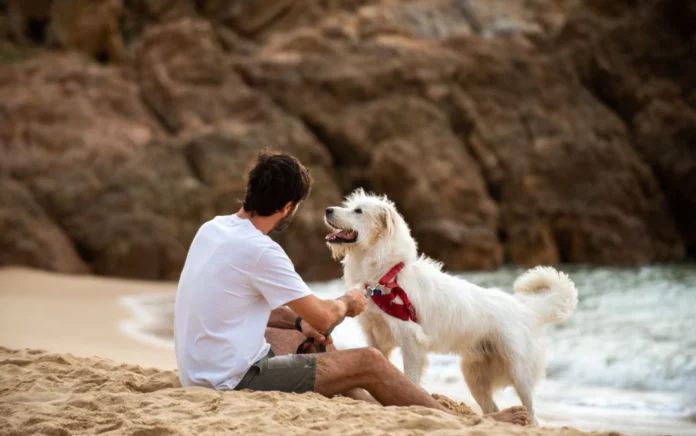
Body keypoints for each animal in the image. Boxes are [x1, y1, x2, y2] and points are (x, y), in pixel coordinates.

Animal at [324, 189, 576, 424]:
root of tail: (527, 309)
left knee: (532, 414)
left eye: (358, 211)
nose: (327, 210)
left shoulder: (411, 342)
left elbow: (409, 379)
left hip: (519, 373)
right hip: (474, 375)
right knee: (491, 408)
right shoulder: (376, 339)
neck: (387, 277)